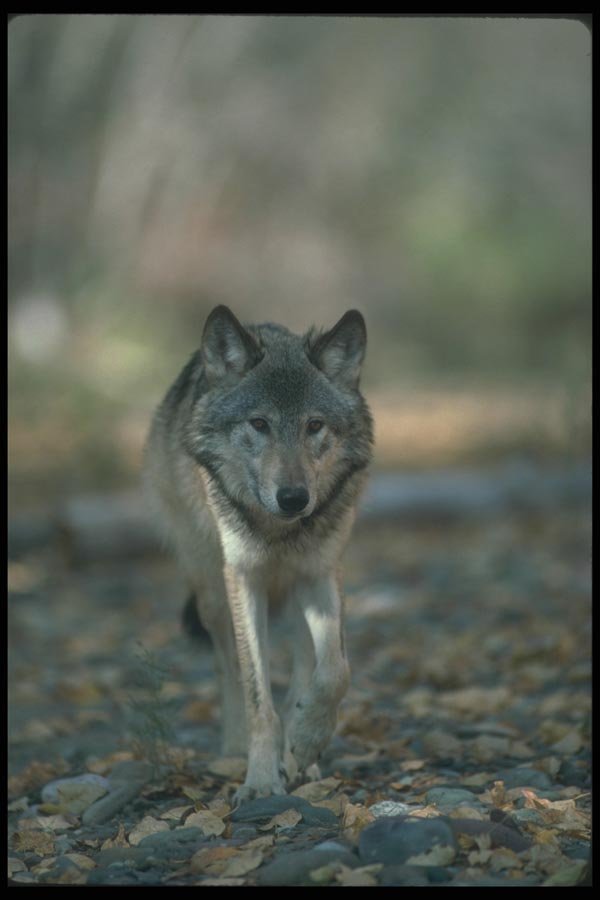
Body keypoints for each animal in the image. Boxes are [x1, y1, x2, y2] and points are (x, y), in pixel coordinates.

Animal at [143, 305, 373, 802]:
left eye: (314, 425)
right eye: (259, 424)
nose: (293, 498)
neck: (279, 532)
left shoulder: (321, 573)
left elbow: (336, 670)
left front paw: (307, 738)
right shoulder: (244, 579)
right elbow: (255, 693)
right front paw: (262, 780)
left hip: (297, 595)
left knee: (306, 667)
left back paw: (302, 756)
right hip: (212, 593)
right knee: (226, 666)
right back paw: (234, 751)